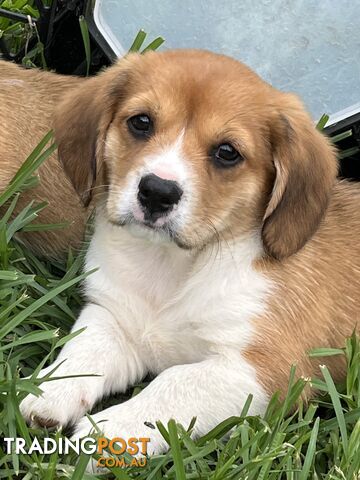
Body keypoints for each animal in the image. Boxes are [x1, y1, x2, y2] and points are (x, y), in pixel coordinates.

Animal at [9, 51, 360, 458]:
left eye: (227, 152)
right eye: (141, 122)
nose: (157, 192)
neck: (171, 268)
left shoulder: (261, 371)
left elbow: (171, 384)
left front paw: (110, 434)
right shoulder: (115, 319)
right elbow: (84, 351)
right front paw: (51, 390)